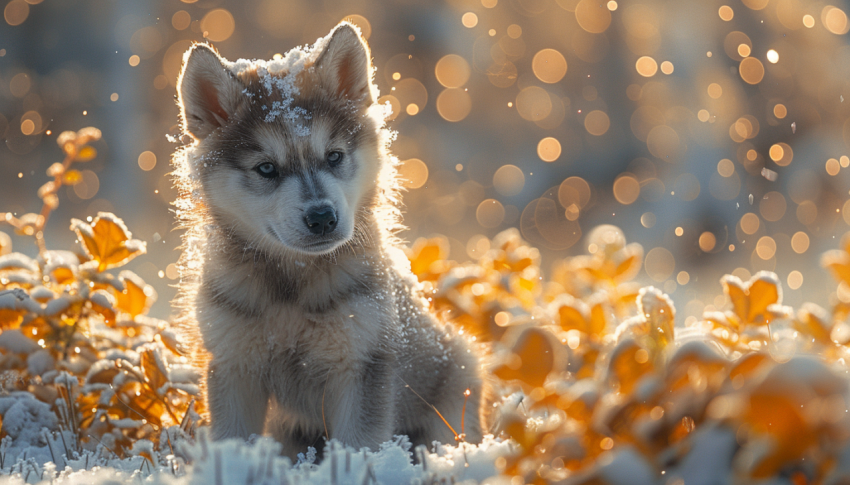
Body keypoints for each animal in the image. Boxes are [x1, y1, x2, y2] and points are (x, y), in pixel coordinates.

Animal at [172, 20, 484, 456]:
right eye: (266, 168)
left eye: (334, 156)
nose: (322, 217)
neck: (290, 288)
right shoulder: (234, 365)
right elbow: (234, 441)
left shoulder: (361, 362)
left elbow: (358, 446)